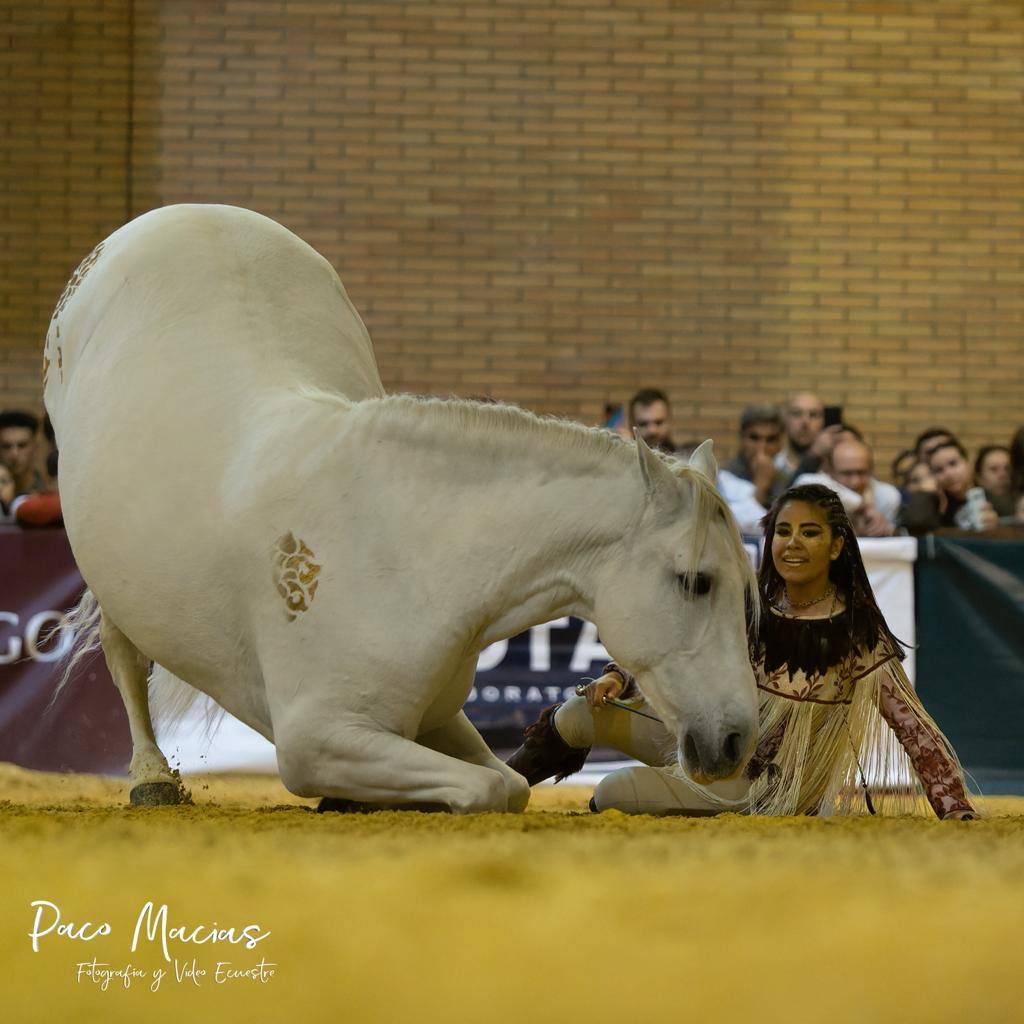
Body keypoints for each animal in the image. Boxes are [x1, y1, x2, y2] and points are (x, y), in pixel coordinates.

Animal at [44, 205, 757, 815]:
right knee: (125, 656)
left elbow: (505, 784)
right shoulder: (315, 738)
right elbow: (489, 790)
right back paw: (151, 779)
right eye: (696, 581)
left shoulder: (435, 718)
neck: (406, 549)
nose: (737, 740)